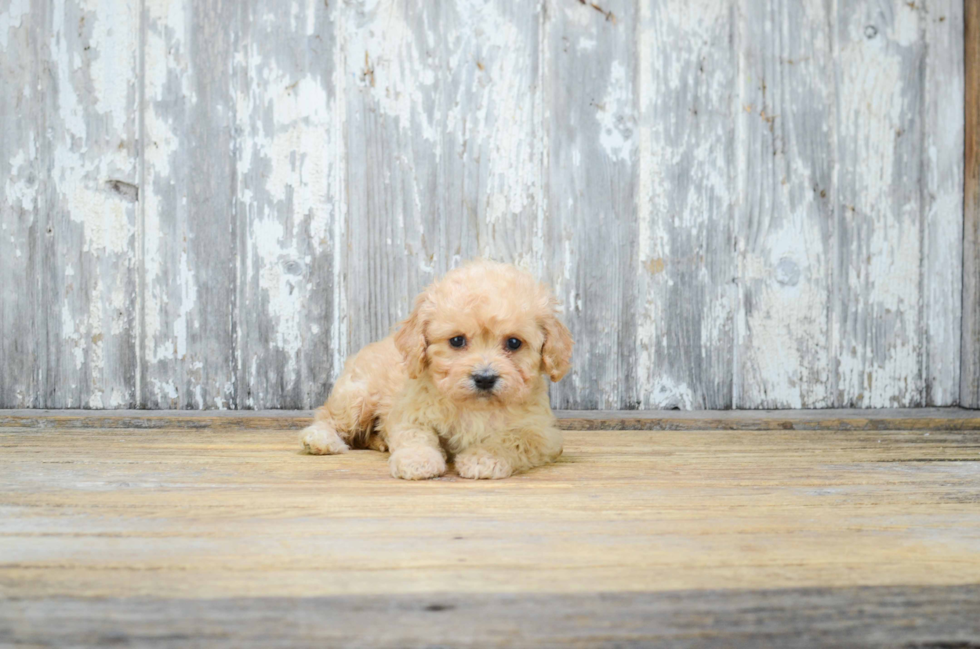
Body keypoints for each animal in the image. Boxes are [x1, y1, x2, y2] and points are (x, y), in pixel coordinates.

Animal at [300, 260, 576, 478]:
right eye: (457, 341)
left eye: (514, 343)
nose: (484, 378)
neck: (476, 406)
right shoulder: (409, 413)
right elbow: (415, 435)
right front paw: (417, 461)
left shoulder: (542, 432)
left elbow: (513, 440)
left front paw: (484, 458)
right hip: (358, 397)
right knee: (329, 416)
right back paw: (321, 439)